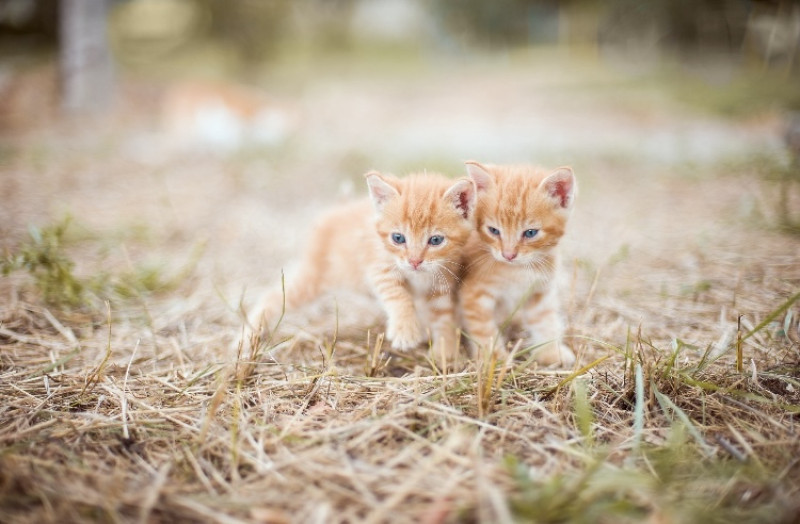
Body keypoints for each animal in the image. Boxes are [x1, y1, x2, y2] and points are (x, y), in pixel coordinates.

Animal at [250, 171, 476, 364]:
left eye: (436, 240)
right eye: (398, 238)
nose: (414, 261)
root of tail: (339, 208)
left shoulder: (441, 283)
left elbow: (444, 316)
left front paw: (445, 351)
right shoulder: (379, 268)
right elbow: (398, 295)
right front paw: (405, 330)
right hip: (313, 278)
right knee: (273, 297)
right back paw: (250, 336)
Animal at [460, 162, 580, 366]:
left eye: (530, 233)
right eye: (494, 230)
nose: (508, 255)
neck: (517, 270)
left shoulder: (540, 291)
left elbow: (545, 321)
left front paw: (551, 352)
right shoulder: (474, 294)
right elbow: (484, 329)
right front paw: (494, 358)